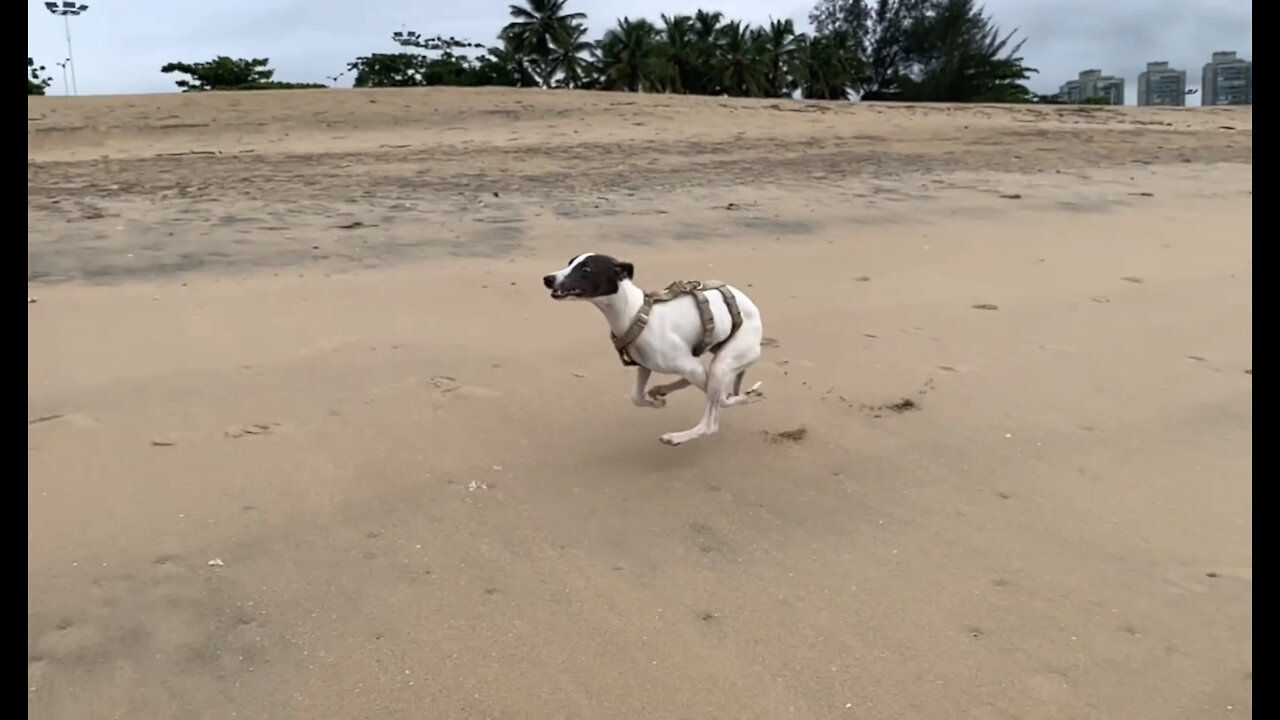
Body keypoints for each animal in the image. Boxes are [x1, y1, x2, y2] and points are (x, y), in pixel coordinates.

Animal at [542, 252, 762, 443]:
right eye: (570, 262)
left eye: (586, 269)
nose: (548, 279)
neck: (635, 313)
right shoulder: (645, 366)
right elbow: (636, 397)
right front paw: (656, 402)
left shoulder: (689, 365)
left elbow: (720, 398)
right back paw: (663, 390)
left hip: (722, 364)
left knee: (713, 418)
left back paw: (677, 437)